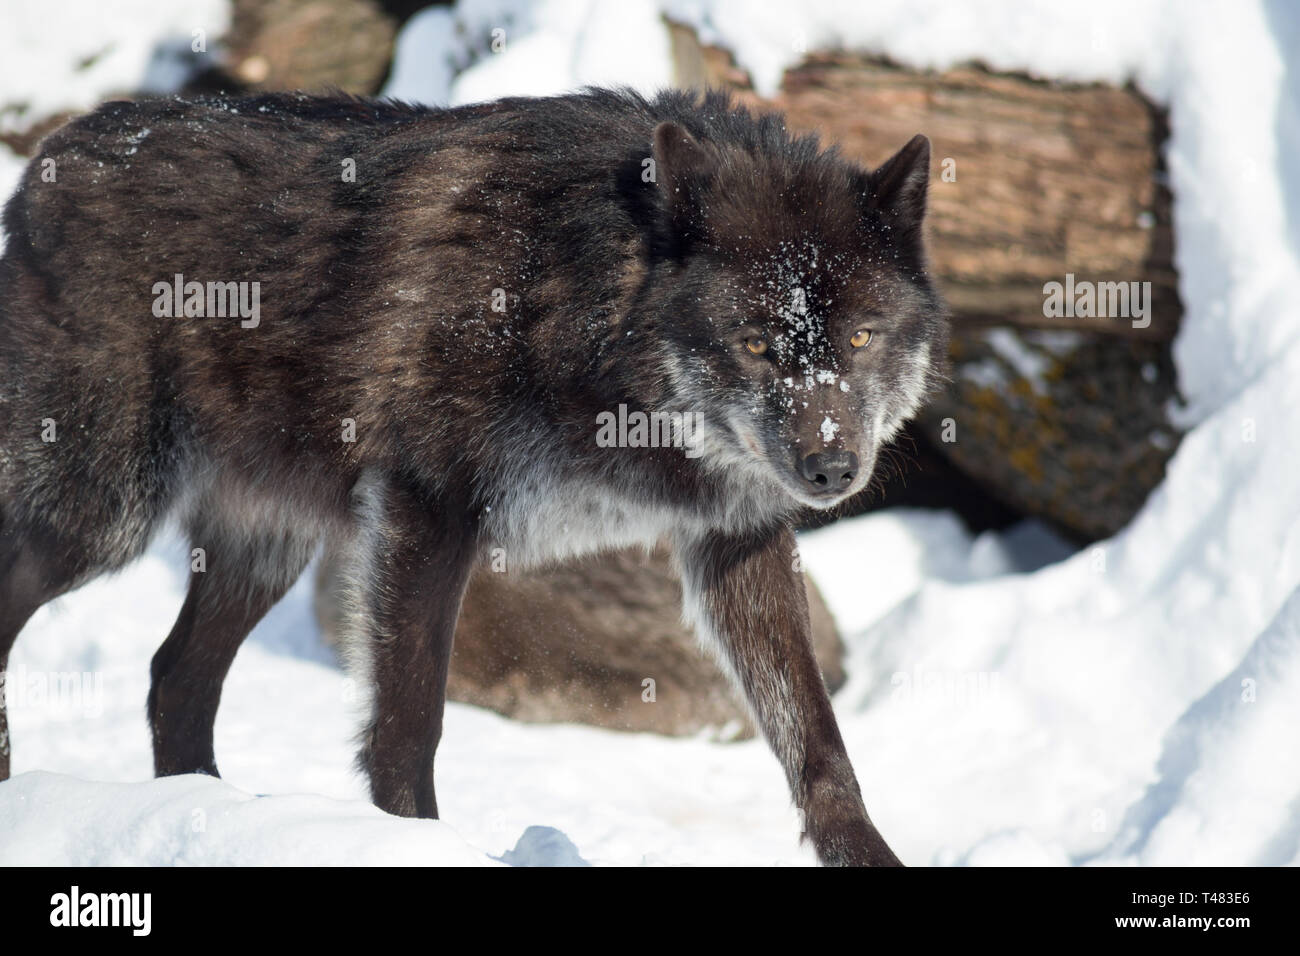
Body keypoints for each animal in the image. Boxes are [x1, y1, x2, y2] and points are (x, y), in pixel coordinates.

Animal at [0, 88, 947, 865]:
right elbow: (408, 724)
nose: (831, 468)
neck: (572, 298)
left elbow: (818, 742)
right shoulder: (428, 508)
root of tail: (50, 157)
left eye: (859, 337)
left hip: (266, 546)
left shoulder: (737, 540)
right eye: (754, 343)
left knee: (175, 681)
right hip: (100, 517)